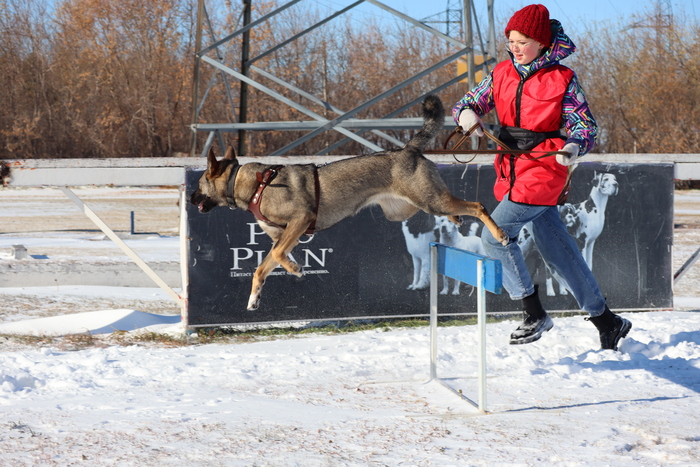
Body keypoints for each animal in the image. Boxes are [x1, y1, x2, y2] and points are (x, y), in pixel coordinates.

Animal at [190, 95, 508, 311]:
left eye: (200, 182)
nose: (191, 198)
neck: (255, 184)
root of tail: (408, 149)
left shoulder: (300, 220)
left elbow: (279, 256)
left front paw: (296, 269)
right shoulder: (281, 236)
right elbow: (262, 267)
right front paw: (254, 299)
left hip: (429, 199)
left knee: (477, 205)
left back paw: (499, 233)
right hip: (409, 207)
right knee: (455, 207)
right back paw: (455, 221)